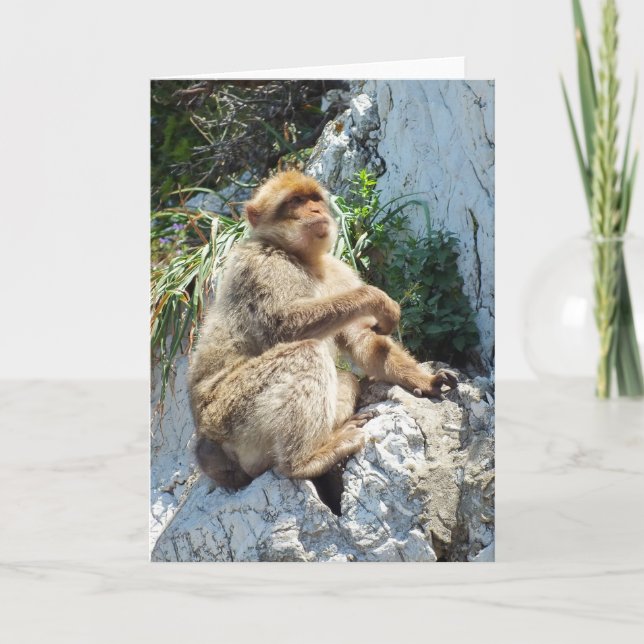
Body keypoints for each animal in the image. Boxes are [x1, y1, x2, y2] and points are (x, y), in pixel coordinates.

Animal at [188, 170, 458, 490]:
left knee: (345, 377)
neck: (301, 258)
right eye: (295, 201)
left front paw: (423, 379)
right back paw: (305, 461)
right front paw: (376, 299)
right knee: (305, 352)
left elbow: (363, 339)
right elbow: (282, 327)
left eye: (314, 198)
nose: (317, 210)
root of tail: (209, 450)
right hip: (227, 414)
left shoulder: (338, 271)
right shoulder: (261, 264)